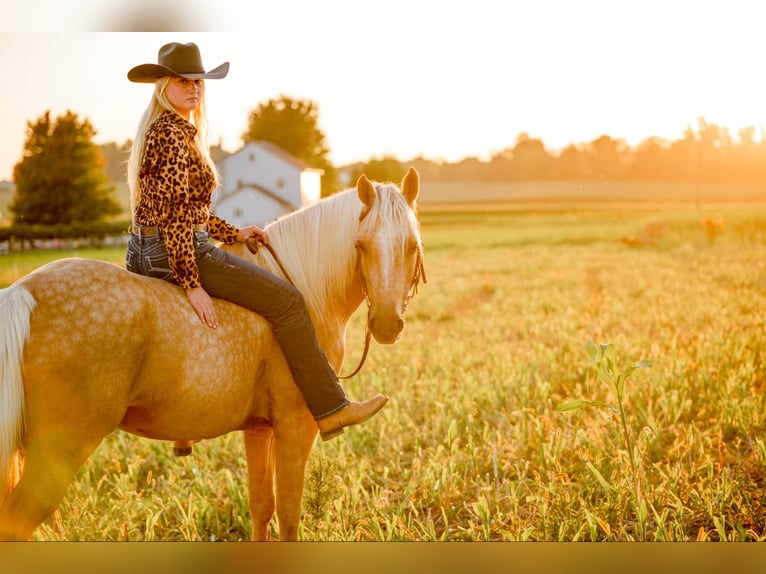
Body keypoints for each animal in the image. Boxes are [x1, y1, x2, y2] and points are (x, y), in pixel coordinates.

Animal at [0, 169, 426, 544]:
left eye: (411, 245)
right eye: (361, 246)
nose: (386, 323)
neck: (304, 290)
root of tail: (23, 293)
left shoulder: (259, 429)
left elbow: (262, 507)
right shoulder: (294, 427)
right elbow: (289, 515)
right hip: (58, 453)